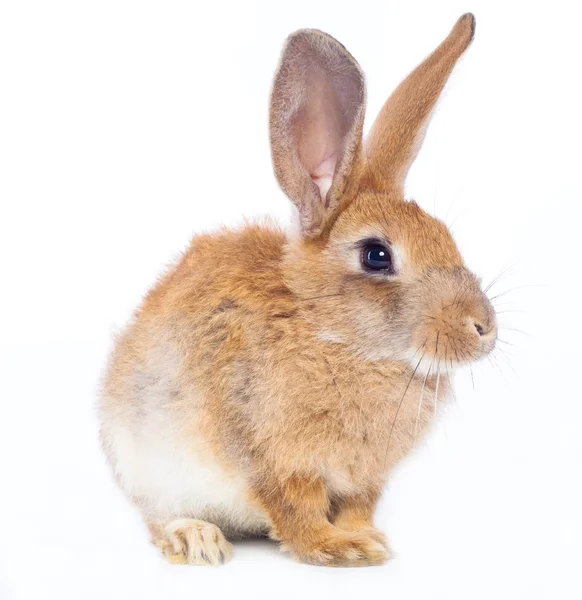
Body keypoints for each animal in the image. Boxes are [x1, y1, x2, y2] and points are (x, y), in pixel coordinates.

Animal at [99, 12, 498, 568]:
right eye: (377, 255)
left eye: (446, 235)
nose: (483, 328)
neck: (330, 333)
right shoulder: (273, 456)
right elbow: (296, 508)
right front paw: (341, 548)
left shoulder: (363, 478)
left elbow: (357, 504)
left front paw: (368, 538)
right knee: (158, 518)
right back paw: (197, 539)